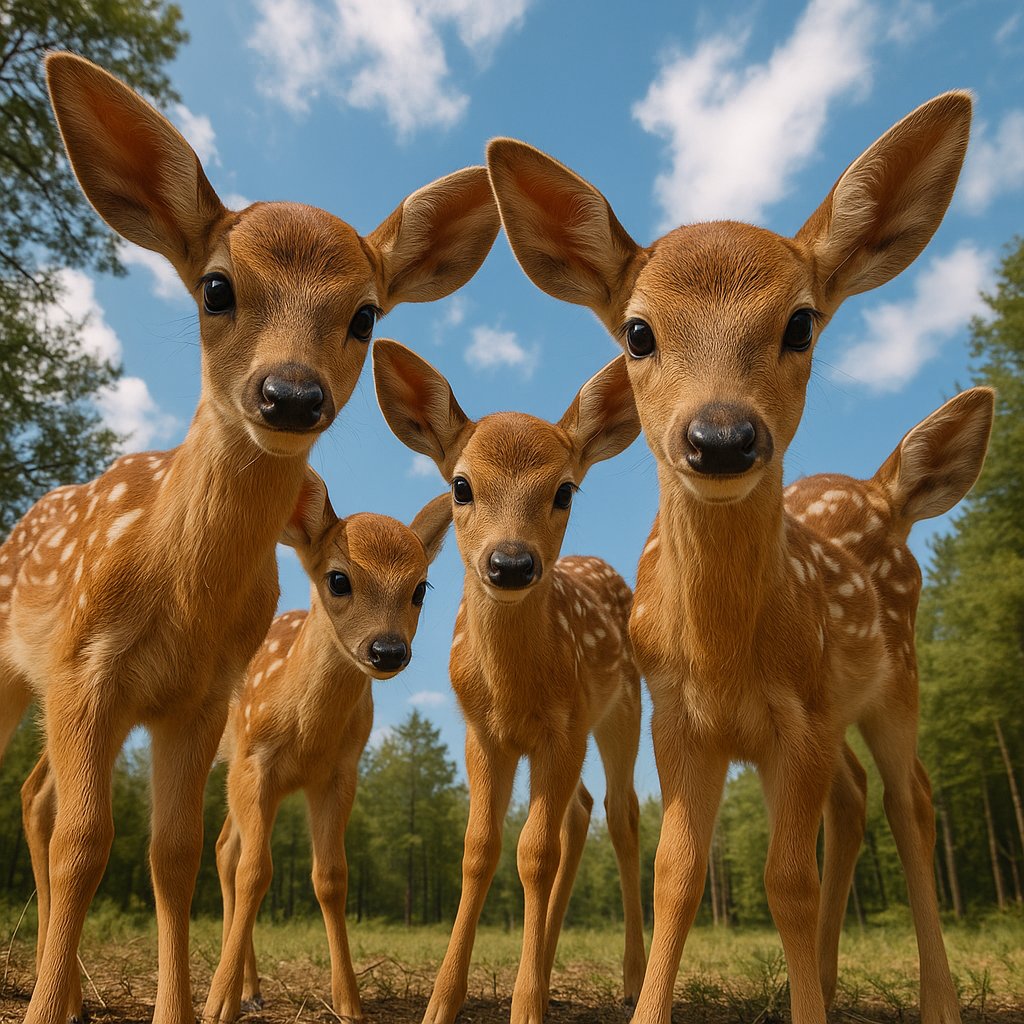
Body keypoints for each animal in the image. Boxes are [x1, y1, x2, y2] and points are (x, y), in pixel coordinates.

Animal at [203, 469, 452, 1023]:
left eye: (421, 588)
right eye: (339, 579)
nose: (388, 649)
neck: (307, 733)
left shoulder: (341, 773)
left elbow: (332, 877)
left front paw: (349, 1003)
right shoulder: (256, 762)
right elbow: (256, 871)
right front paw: (215, 1005)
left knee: (226, 846)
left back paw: (251, 989)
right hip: (237, 766)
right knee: (234, 856)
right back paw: (237, 991)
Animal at [373, 339, 648, 1024]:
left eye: (565, 490)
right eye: (461, 485)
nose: (512, 562)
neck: (512, 690)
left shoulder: (562, 728)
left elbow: (533, 853)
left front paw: (525, 1006)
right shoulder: (482, 733)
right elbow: (479, 849)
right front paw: (442, 1003)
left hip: (623, 708)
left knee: (621, 814)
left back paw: (631, 979)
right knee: (580, 812)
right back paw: (546, 965)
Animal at [485, 93, 990, 1023]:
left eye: (801, 322)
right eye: (637, 332)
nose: (721, 436)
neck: (725, 657)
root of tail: (888, 490)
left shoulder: (807, 712)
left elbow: (785, 880)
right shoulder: (678, 716)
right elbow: (679, 873)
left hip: (898, 676)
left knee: (912, 799)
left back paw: (936, 999)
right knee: (857, 799)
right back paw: (826, 976)